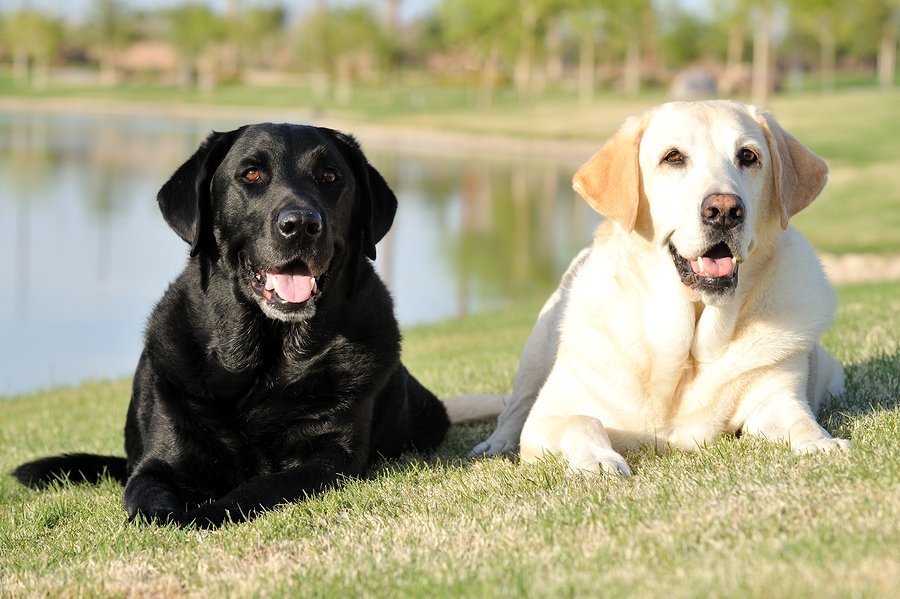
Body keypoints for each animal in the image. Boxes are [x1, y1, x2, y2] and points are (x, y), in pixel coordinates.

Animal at [12, 124, 448, 528]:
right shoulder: (161, 462)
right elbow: (148, 495)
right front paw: (168, 517)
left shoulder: (330, 458)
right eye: (251, 174)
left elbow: (260, 486)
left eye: (330, 176)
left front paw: (205, 514)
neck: (265, 357)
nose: (301, 224)